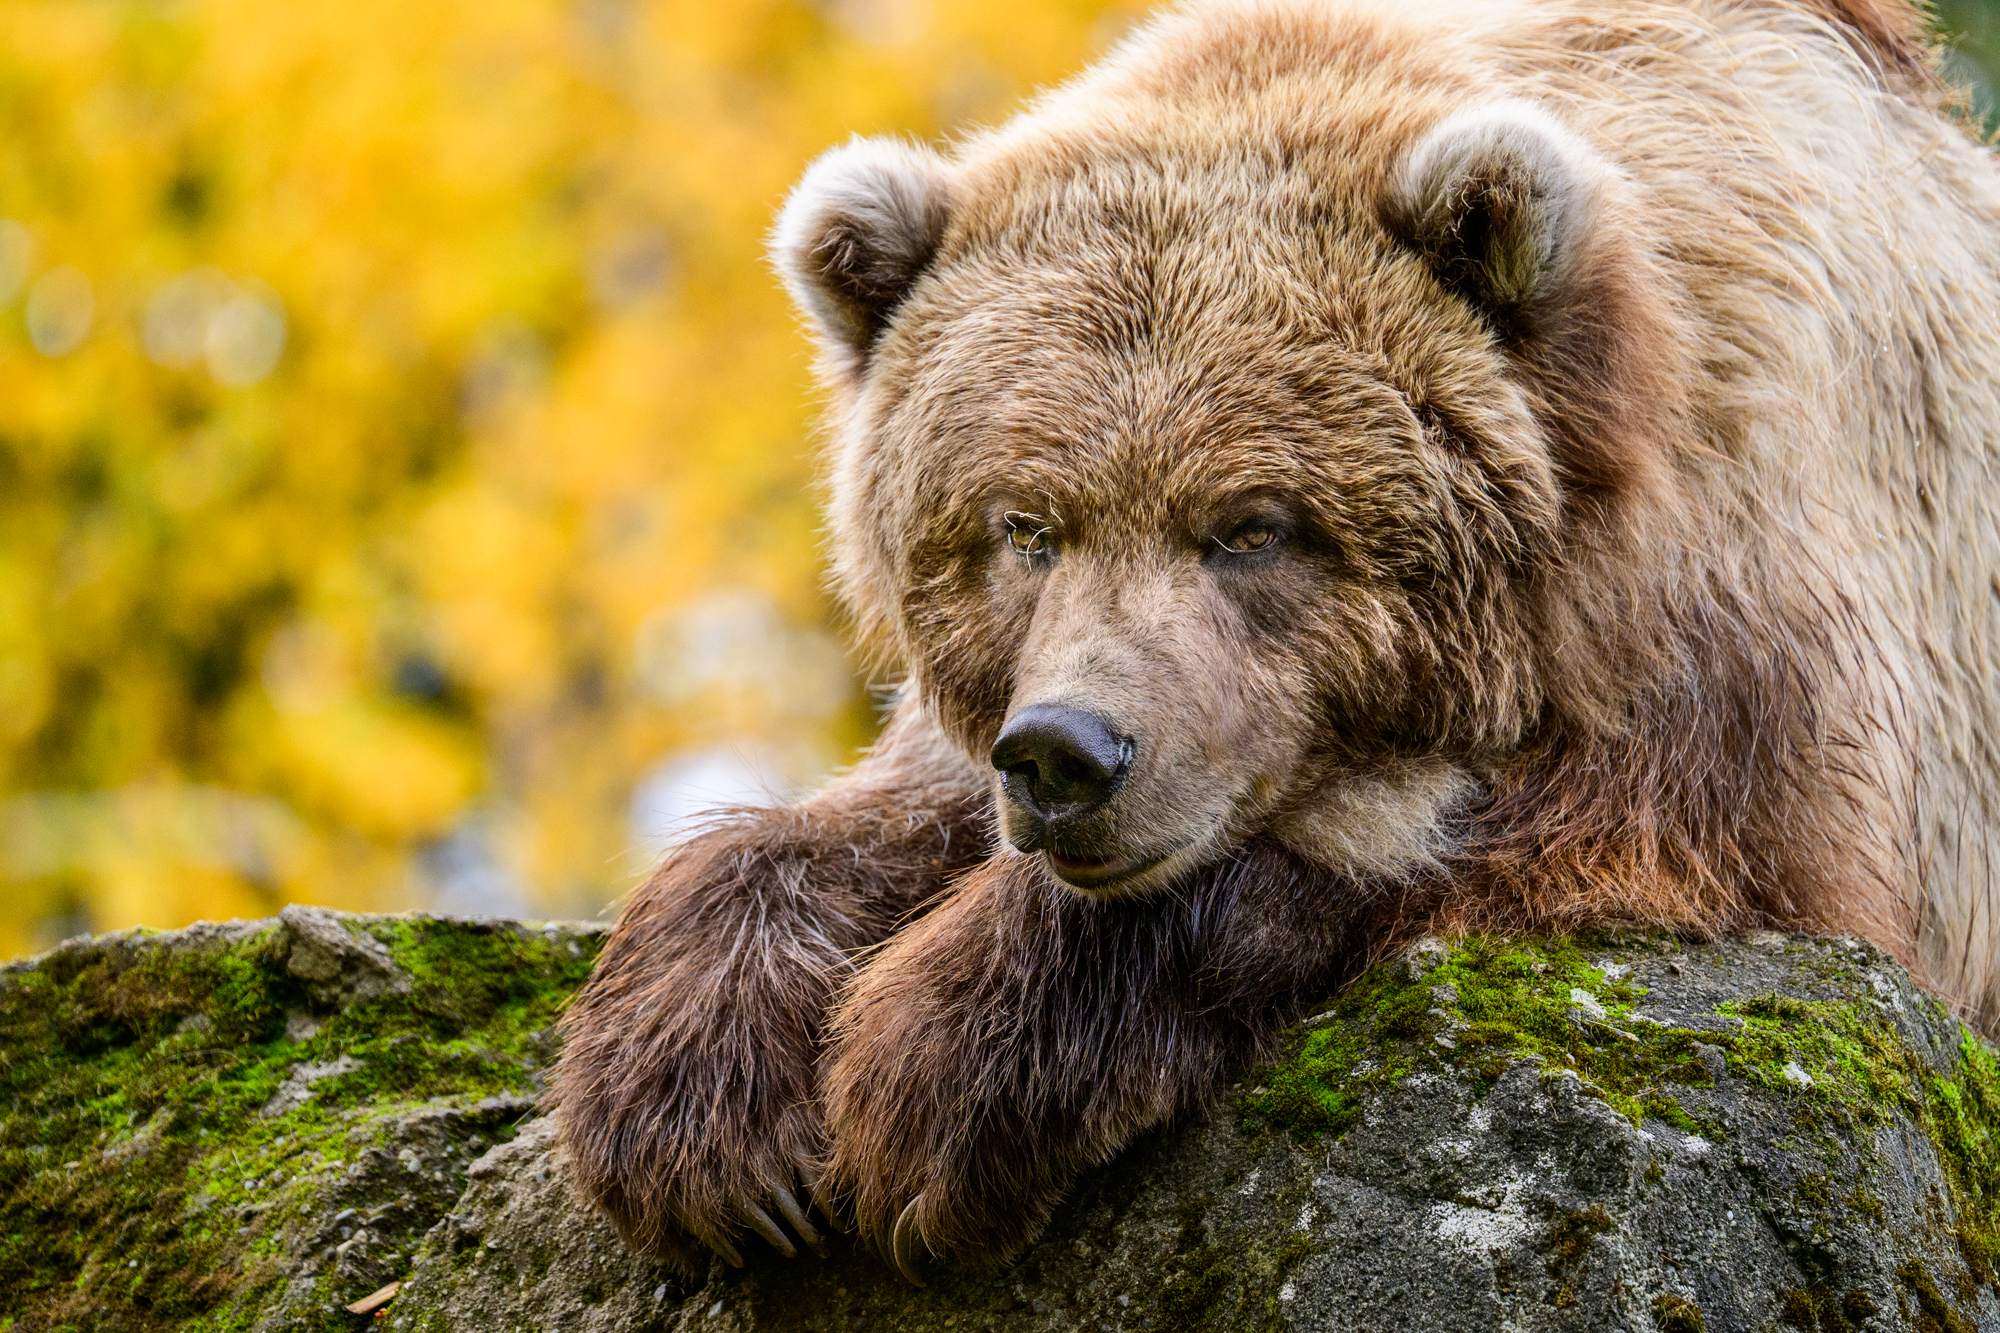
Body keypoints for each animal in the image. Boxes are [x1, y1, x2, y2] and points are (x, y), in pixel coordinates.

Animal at [553, 0, 2000, 1281]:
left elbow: (1533, 833)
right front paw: (698, 1100)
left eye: (1250, 525)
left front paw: (934, 1068)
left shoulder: (1785, 648)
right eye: (1025, 525)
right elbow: (878, 812)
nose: (1070, 754)